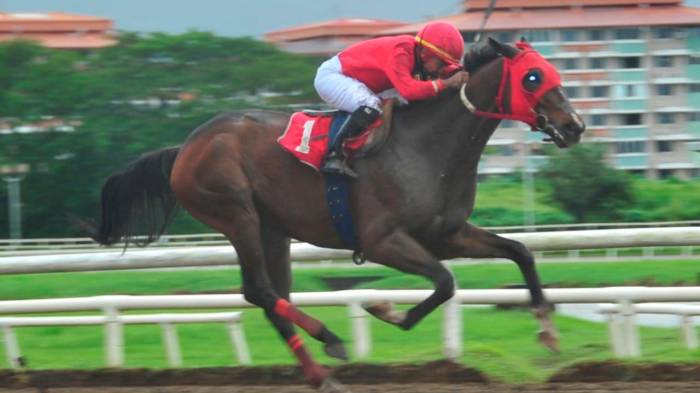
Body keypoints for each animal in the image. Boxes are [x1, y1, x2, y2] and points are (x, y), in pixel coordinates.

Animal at [86, 39, 584, 392]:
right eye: (533, 77)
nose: (575, 125)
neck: (426, 147)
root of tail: (184, 148)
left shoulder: (448, 234)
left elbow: (520, 252)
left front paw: (548, 333)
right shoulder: (382, 240)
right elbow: (445, 282)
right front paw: (385, 309)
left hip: (273, 229)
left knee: (269, 298)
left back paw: (322, 375)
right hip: (236, 212)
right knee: (261, 291)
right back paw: (330, 338)